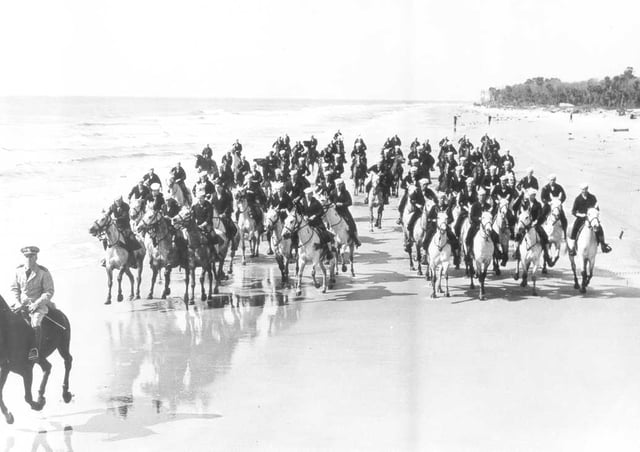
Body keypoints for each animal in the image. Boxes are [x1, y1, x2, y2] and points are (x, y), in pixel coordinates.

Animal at [0, 294, 72, 422]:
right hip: (41, 357)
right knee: (47, 367)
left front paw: (38, 405)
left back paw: (65, 394)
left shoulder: (27, 369)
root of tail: (59, 312)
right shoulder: (5, 368)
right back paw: (41, 395)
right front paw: (8, 416)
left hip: (63, 345)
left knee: (67, 361)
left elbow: (27, 397)